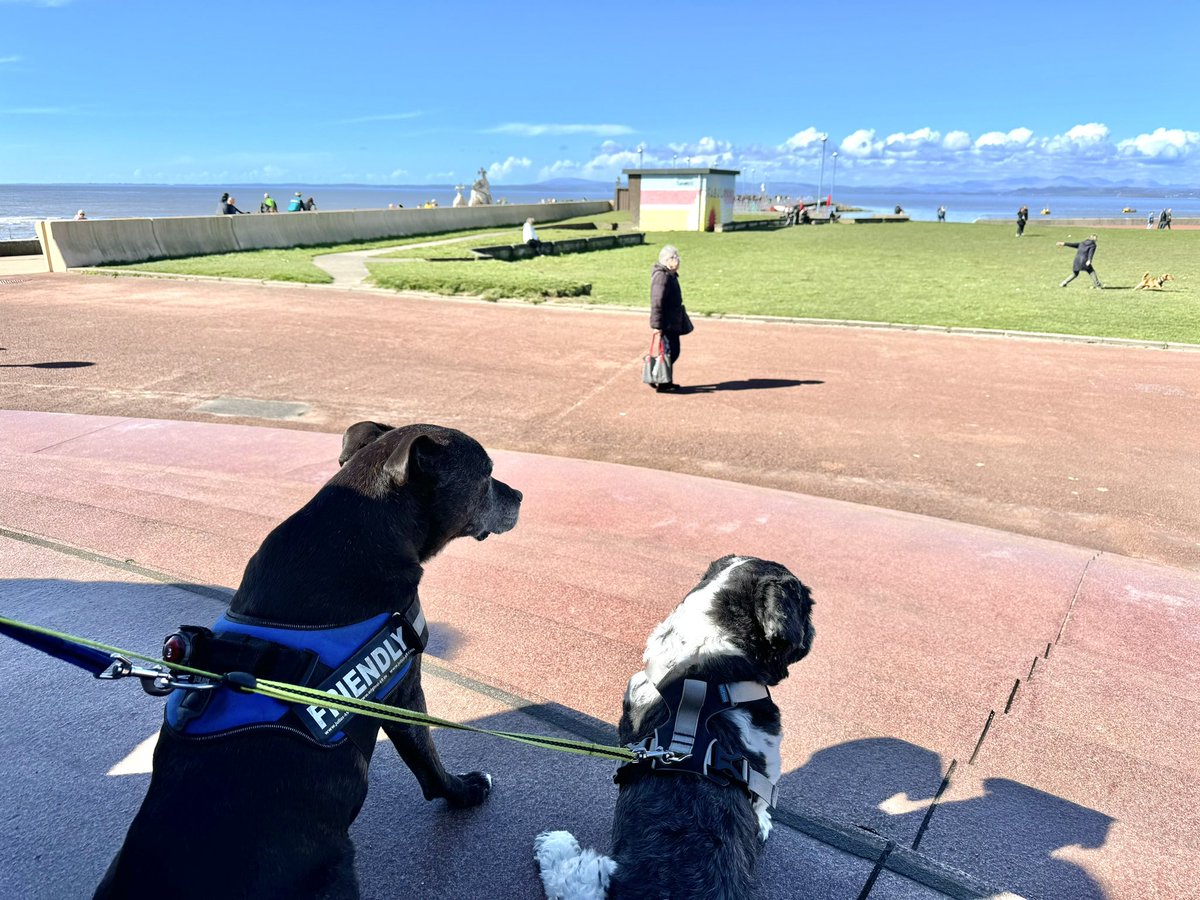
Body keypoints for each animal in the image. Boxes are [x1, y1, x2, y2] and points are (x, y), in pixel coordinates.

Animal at [91, 424, 523, 900]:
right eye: (487, 474)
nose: (520, 495)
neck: (358, 525)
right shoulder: (402, 688)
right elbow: (429, 761)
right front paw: (465, 792)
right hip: (335, 875)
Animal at [535, 556, 816, 900]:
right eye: (807, 605)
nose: (811, 632)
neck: (707, 671)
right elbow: (762, 799)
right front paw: (761, 822)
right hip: (598, 873)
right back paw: (554, 845)